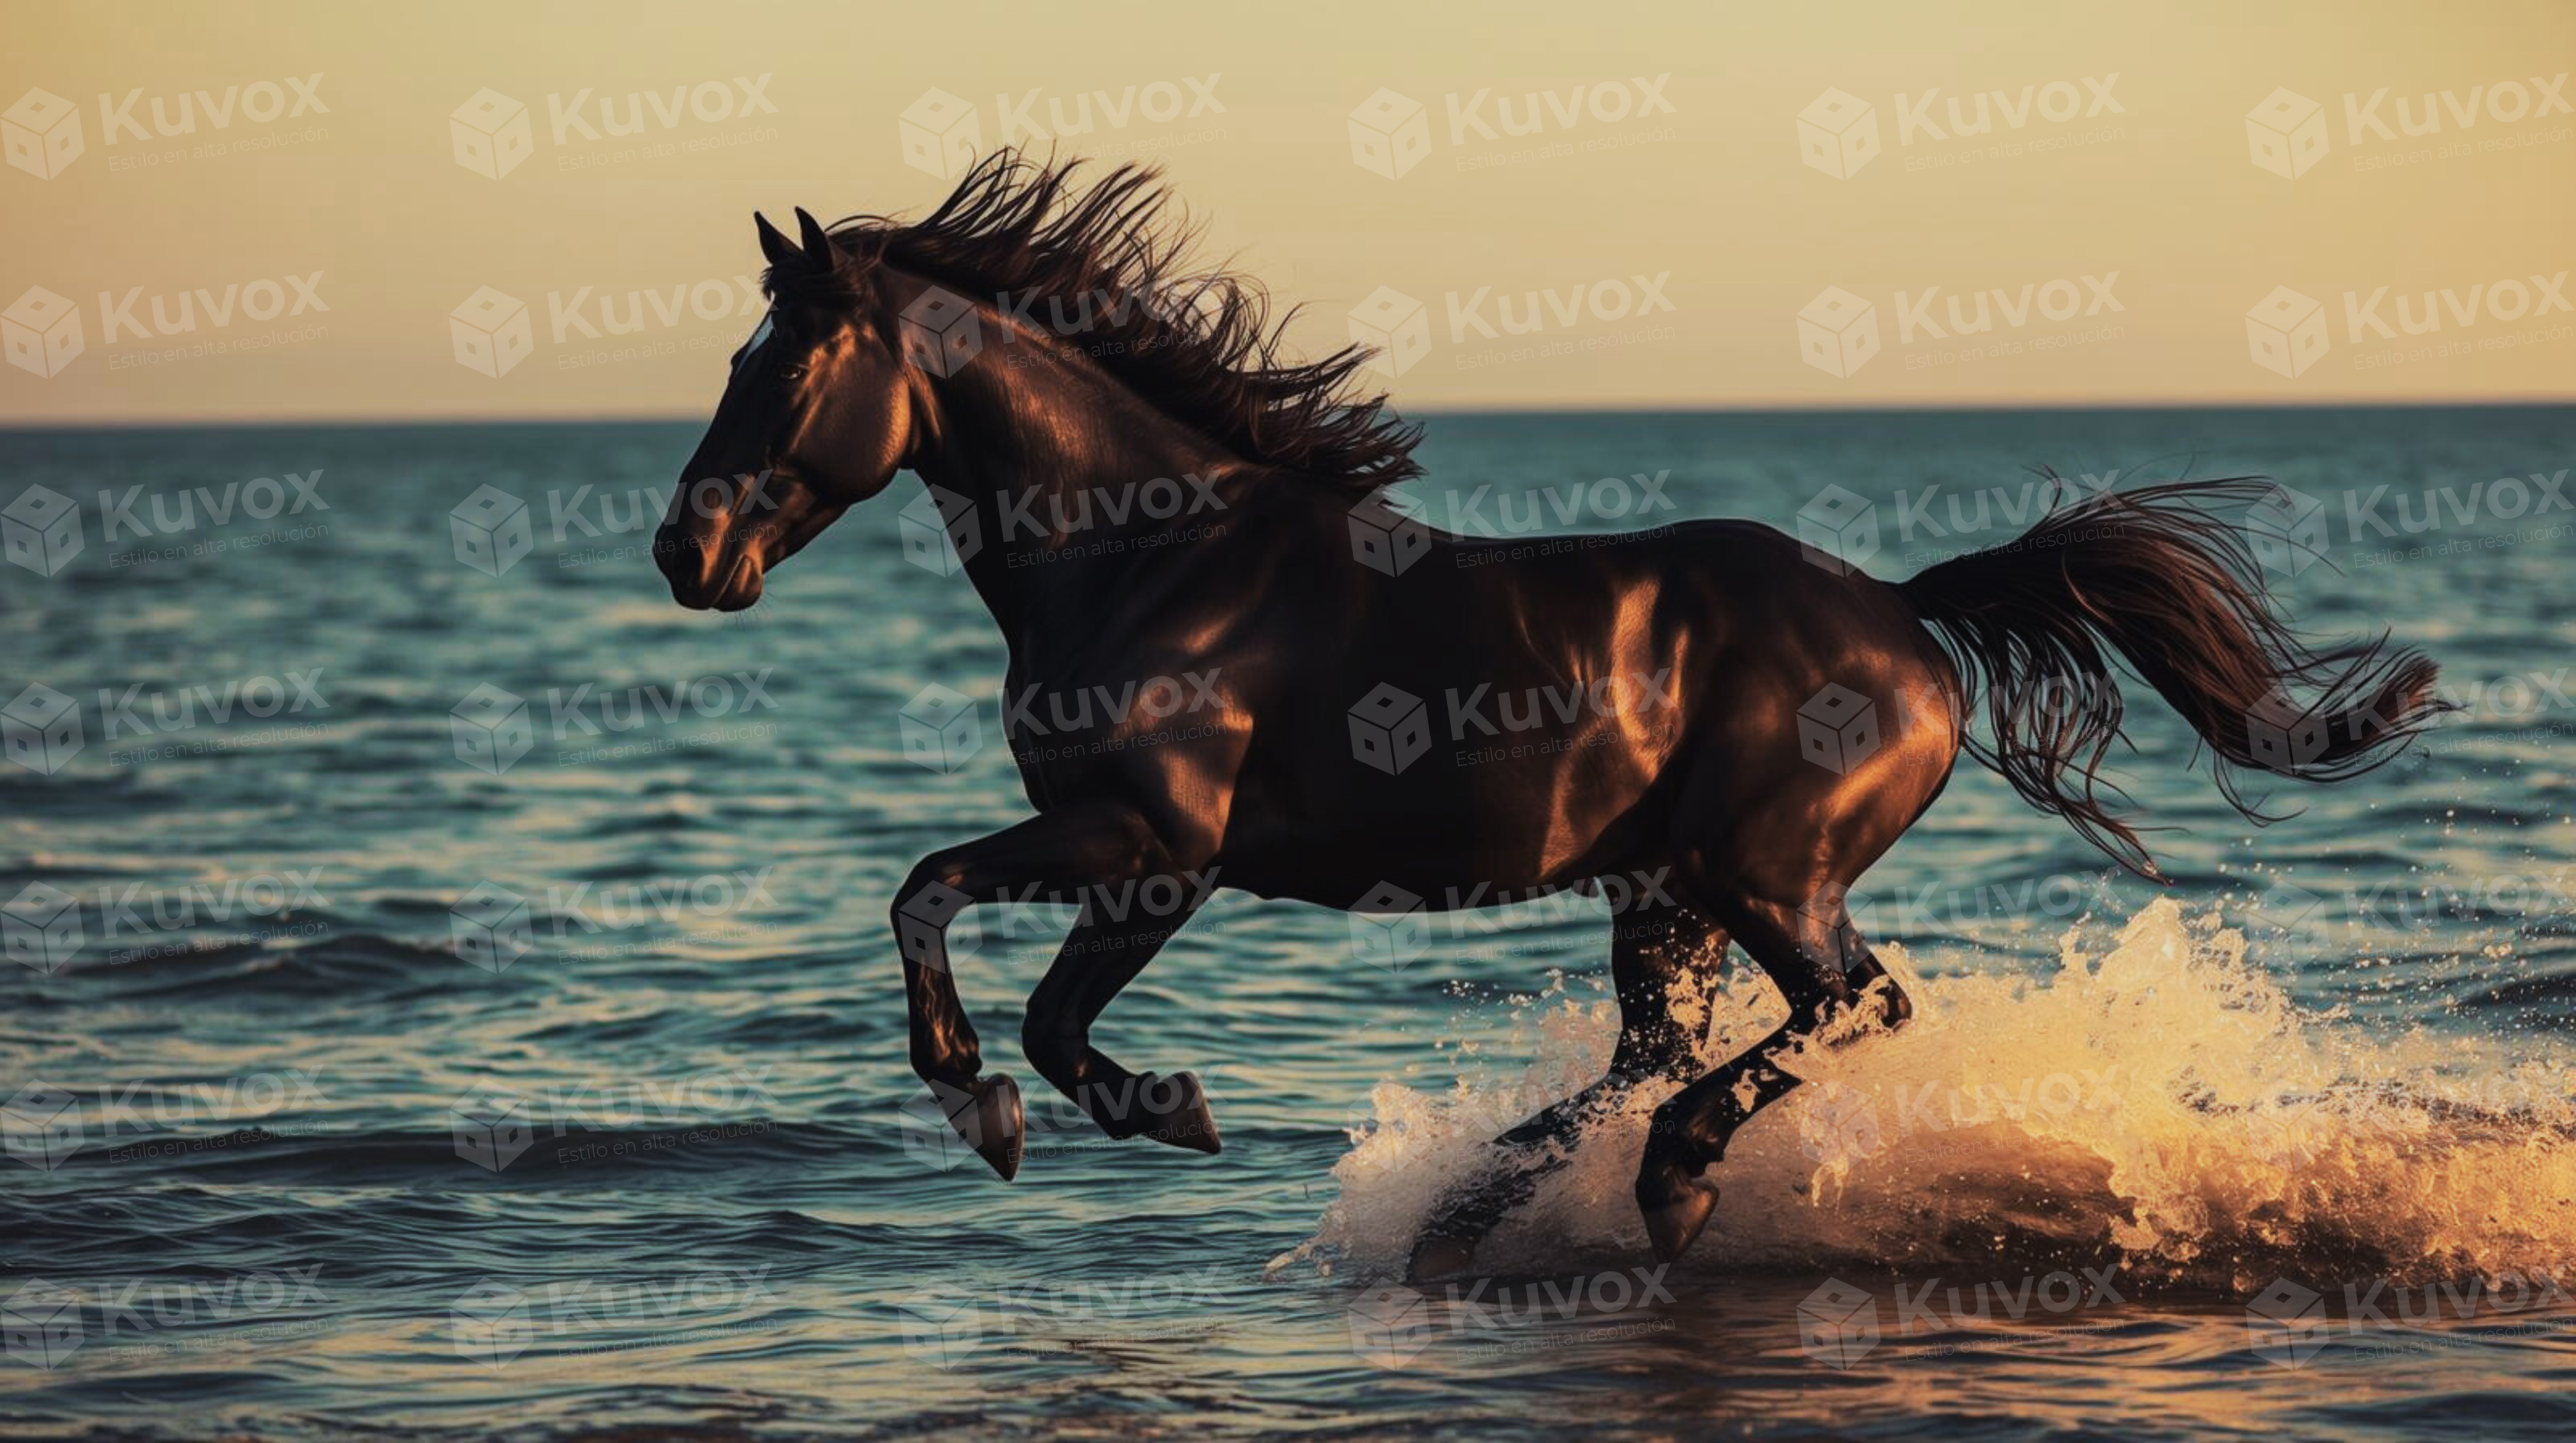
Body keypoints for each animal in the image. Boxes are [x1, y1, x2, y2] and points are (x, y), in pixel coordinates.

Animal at [652, 151, 2443, 1275]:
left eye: (779, 366)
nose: (686, 552)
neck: (1150, 555)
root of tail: (1904, 610)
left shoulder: (1155, 849)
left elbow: (995, 967)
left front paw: (1089, 1112)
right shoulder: (1121, 847)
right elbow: (939, 906)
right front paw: (1022, 1109)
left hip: (1767, 874)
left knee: (1846, 1009)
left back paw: (1659, 1182)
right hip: (1665, 889)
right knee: (1667, 1043)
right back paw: (1494, 1207)